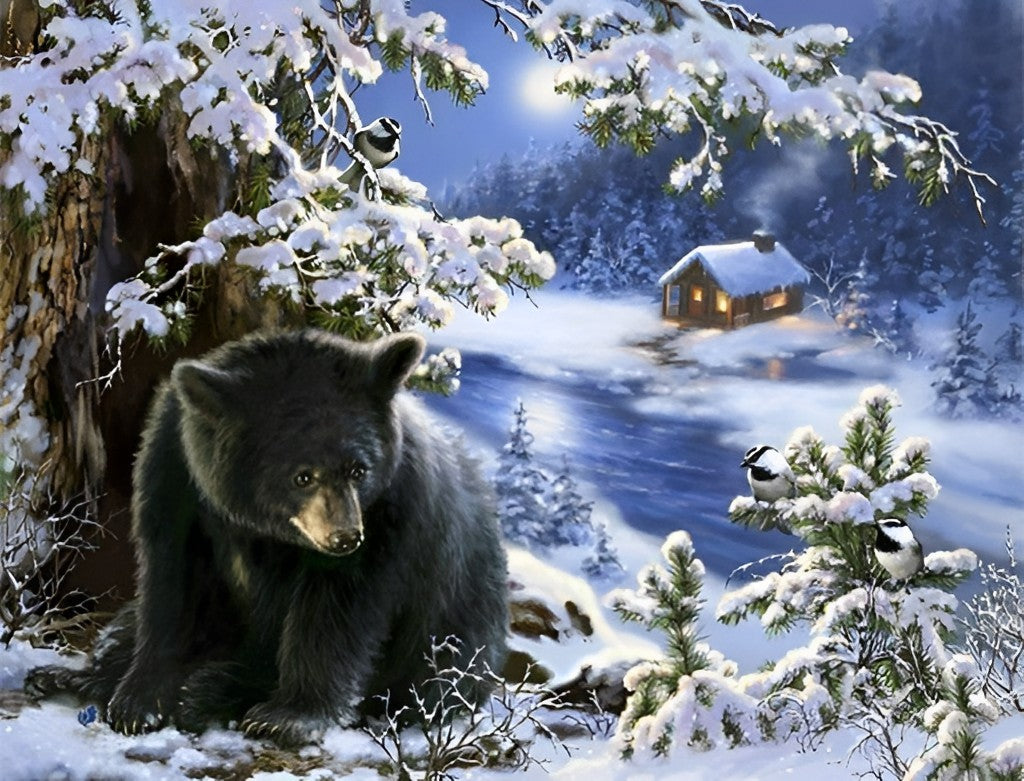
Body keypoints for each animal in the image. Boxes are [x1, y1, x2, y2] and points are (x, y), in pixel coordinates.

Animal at [26, 330, 509, 746]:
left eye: (359, 469)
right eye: (302, 476)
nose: (344, 537)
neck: (260, 523)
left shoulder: (392, 507)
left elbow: (337, 611)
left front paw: (288, 717)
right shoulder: (177, 472)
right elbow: (171, 583)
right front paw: (138, 701)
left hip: (454, 623)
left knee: (433, 678)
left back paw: (211, 690)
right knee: (128, 625)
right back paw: (76, 677)